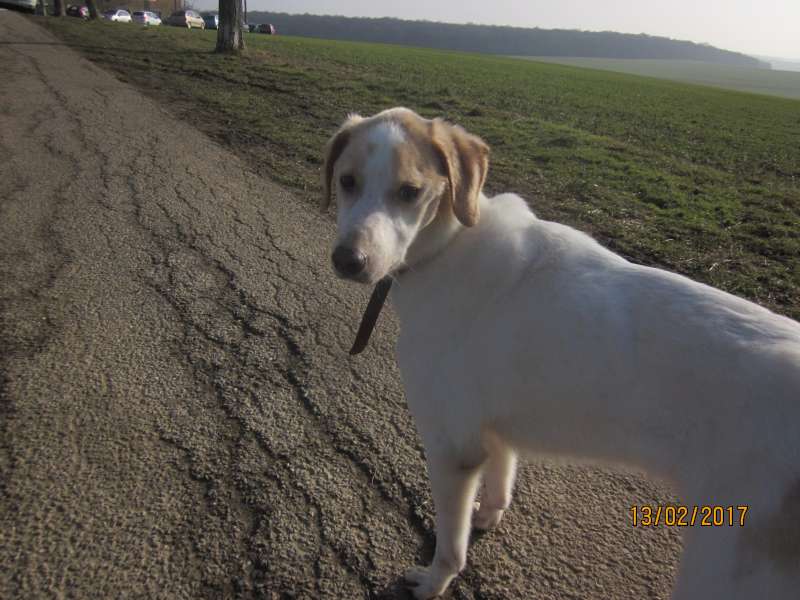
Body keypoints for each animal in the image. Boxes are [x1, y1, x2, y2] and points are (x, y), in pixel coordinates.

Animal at [322, 105, 796, 596]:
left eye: (410, 192)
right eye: (347, 181)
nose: (348, 261)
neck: (449, 247)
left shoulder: (451, 447)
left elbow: (451, 545)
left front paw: (435, 581)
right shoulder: (491, 430)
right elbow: (501, 481)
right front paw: (487, 517)